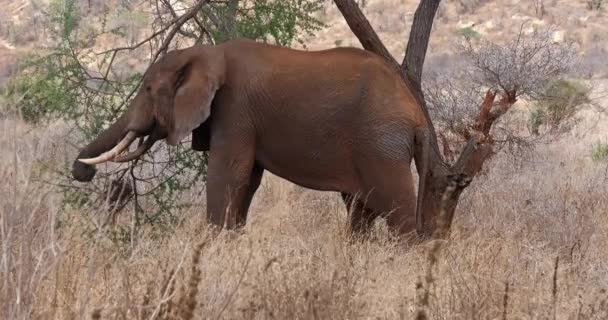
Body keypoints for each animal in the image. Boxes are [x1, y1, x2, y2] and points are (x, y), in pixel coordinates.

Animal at [72, 37, 452, 238]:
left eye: (149, 89)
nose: (82, 172)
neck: (207, 52)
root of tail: (417, 115)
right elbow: (247, 181)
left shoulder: (235, 110)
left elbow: (228, 175)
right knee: (361, 210)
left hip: (381, 144)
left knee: (395, 211)